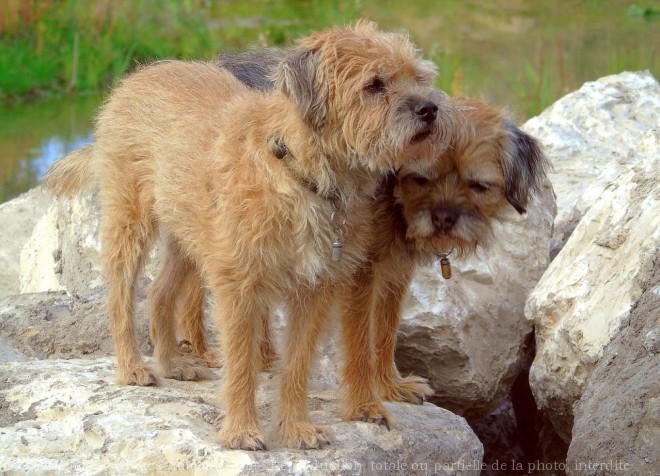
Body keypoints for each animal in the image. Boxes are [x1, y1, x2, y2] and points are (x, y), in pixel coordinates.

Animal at [43, 19, 452, 450]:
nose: (429, 109)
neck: (301, 174)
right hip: (130, 222)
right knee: (120, 297)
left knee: (159, 292)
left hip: (187, 237)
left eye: (419, 78)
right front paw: (241, 431)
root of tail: (136, 77)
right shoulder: (239, 286)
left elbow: (298, 365)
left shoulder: (316, 292)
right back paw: (133, 367)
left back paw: (172, 364)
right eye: (374, 84)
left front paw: (295, 428)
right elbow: (241, 364)